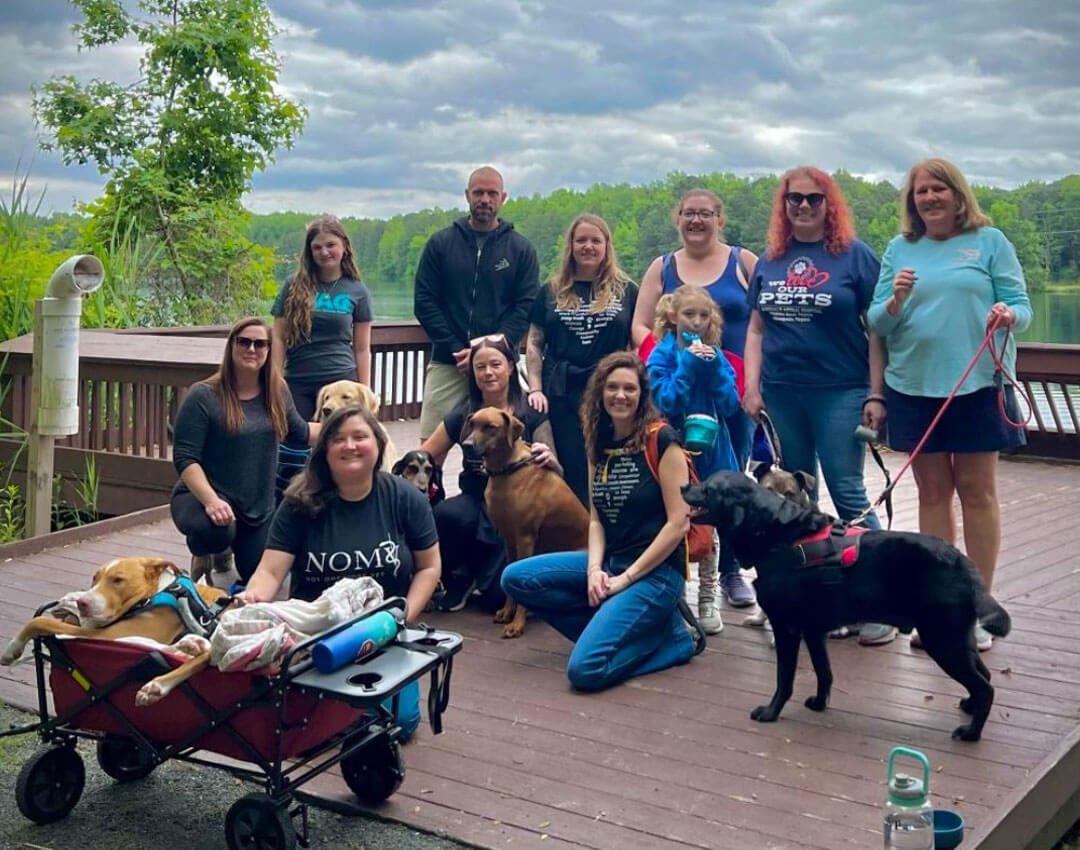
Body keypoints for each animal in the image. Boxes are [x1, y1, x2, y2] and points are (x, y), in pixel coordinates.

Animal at [0, 557, 234, 708]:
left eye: (118, 580)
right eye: (95, 578)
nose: (83, 603)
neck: (159, 591)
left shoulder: (105, 635)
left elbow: (39, 620)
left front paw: (12, 650)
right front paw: (70, 600)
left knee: (204, 656)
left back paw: (157, 685)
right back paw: (191, 644)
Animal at [460, 408, 587, 639]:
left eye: (490, 427)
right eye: (472, 424)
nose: (467, 445)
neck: (507, 470)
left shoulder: (525, 538)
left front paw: (517, 624)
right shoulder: (509, 539)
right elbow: (507, 575)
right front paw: (506, 613)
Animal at [682, 473, 1010, 743]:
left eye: (708, 488)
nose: (684, 486)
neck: (780, 536)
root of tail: (964, 563)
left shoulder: (787, 628)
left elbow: (784, 678)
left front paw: (771, 712)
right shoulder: (813, 631)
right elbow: (824, 672)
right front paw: (819, 703)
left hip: (942, 640)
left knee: (985, 686)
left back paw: (972, 733)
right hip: (956, 638)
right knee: (984, 677)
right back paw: (970, 707)